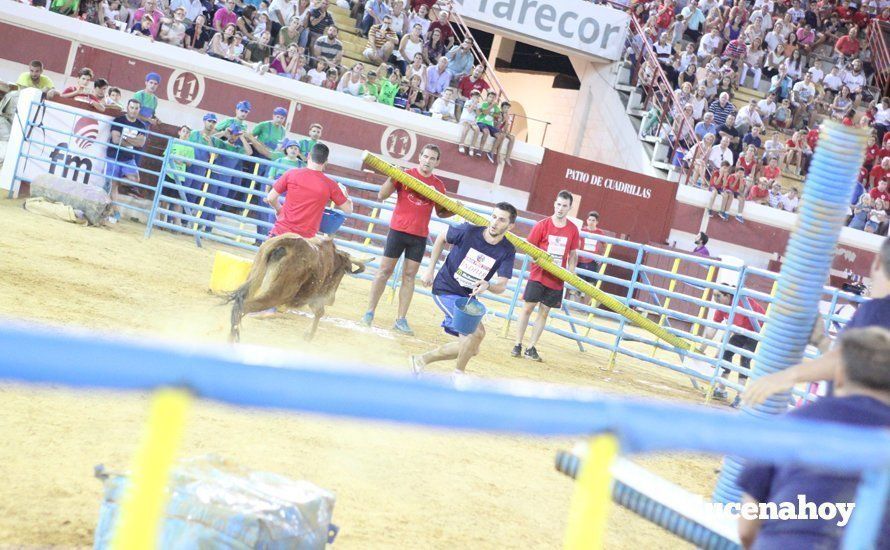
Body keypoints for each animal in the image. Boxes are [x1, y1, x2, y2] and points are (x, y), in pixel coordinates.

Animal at [229, 234, 372, 344]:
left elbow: (319, 312)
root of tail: (289, 243)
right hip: (278, 294)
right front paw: (309, 335)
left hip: (254, 280)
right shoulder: (315, 296)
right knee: (243, 308)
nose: (331, 300)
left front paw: (308, 335)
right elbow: (320, 312)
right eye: (343, 272)